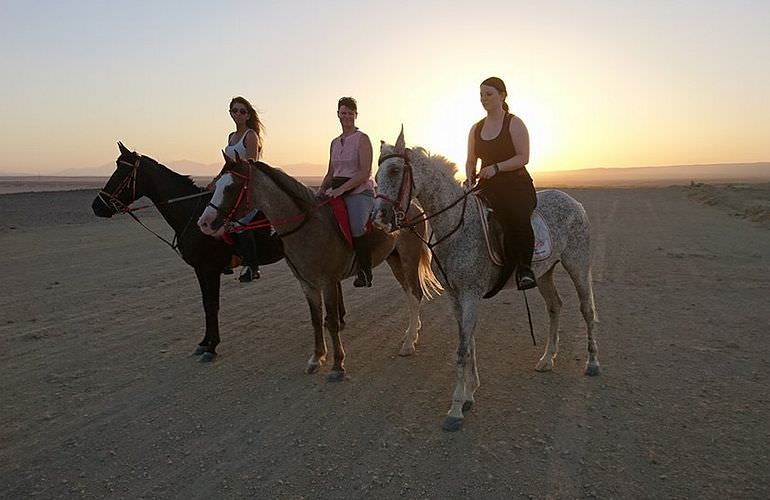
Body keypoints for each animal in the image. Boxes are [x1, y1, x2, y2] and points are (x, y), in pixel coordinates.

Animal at [368, 131, 596, 432]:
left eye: (394, 170)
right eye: (375, 175)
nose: (378, 218)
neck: (456, 225)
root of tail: (573, 202)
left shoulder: (470, 294)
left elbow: (463, 348)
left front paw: (455, 409)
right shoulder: (456, 296)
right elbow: (469, 342)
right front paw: (469, 394)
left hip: (577, 264)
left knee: (587, 310)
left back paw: (592, 363)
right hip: (544, 273)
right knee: (555, 306)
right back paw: (547, 359)